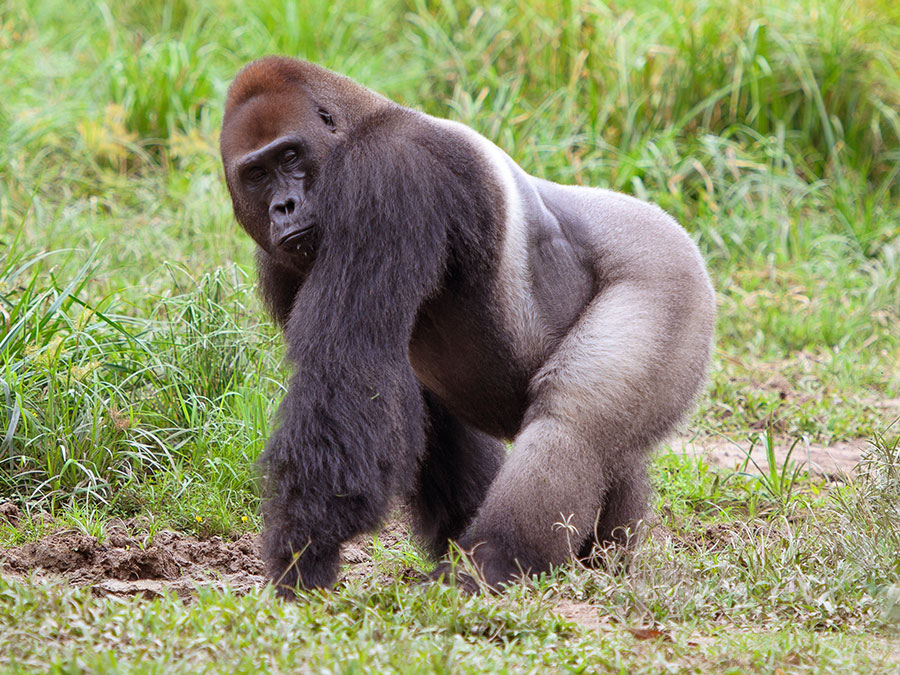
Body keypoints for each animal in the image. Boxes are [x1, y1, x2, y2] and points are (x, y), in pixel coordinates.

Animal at [220, 58, 716, 596]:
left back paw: (493, 561)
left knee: (573, 422)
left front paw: (303, 551)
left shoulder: (389, 170)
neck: (361, 119)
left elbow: (349, 367)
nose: (284, 207)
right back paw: (598, 559)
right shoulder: (281, 264)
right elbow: (418, 408)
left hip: (668, 273)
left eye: (291, 156)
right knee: (612, 452)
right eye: (257, 174)